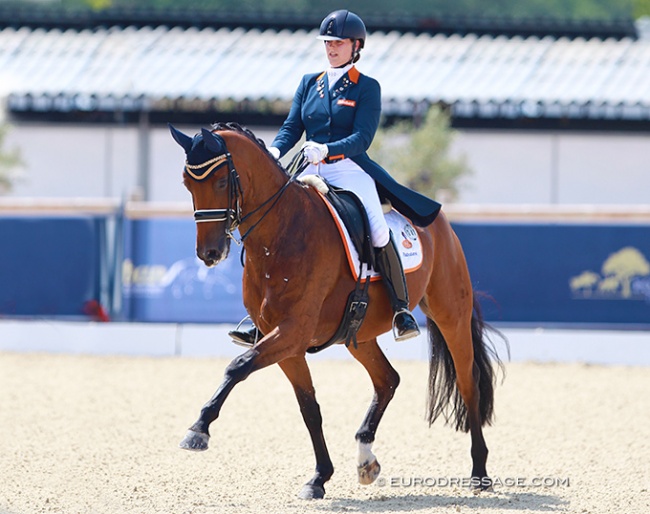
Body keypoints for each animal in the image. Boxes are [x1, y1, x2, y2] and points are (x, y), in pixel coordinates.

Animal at [167, 120, 502, 496]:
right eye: (187, 183)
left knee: (468, 383)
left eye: (222, 182)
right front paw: (319, 477)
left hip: (450, 315)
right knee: (387, 380)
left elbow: (236, 367)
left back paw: (479, 472)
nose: (209, 253)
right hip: (359, 334)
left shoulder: (292, 332)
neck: (280, 234)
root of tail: (442, 224)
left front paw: (198, 429)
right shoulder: (284, 341)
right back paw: (366, 459)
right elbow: (309, 408)